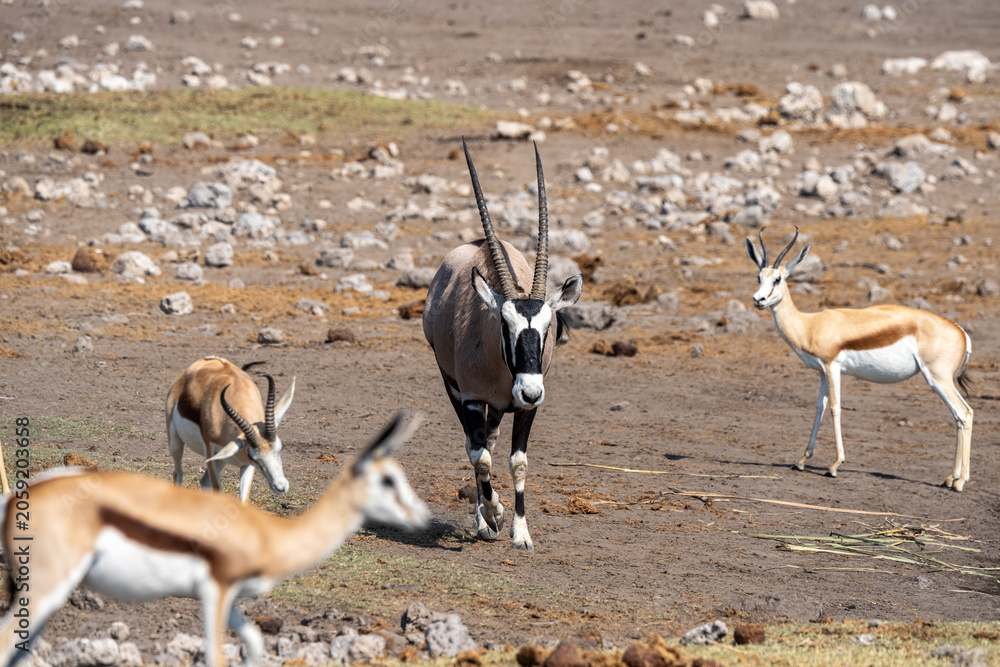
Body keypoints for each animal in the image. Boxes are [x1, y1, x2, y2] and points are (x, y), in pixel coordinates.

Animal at [0, 411, 429, 667]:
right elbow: (215, 655)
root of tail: (18, 501)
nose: (422, 516)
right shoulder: (214, 591)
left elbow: (254, 641)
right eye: (387, 480)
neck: (270, 533)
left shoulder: (234, 598)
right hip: (45, 589)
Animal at [166, 357, 295, 503]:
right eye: (254, 457)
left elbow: (243, 500)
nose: (280, 486)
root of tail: (203, 361)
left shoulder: (246, 464)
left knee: (204, 481)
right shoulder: (212, 454)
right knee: (178, 473)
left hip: (222, 459)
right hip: (176, 444)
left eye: (280, 448)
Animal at [422, 139, 583, 551]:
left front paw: (521, 533)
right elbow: (480, 459)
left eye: (548, 328)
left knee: (490, 446)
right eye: (503, 324)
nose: (528, 390)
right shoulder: (471, 398)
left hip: (497, 408)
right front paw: (492, 515)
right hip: (456, 389)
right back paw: (484, 517)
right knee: (475, 447)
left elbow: (517, 462)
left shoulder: (527, 409)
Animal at [746, 228, 973, 489]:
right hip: (943, 381)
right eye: (758, 276)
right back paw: (950, 478)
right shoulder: (822, 371)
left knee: (964, 414)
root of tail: (962, 332)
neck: (810, 324)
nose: (759, 300)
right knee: (960, 417)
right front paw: (802, 461)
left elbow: (835, 408)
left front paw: (834, 465)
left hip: (938, 379)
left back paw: (959, 482)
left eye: (777, 279)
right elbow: (819, 408)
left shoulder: (832, 367)